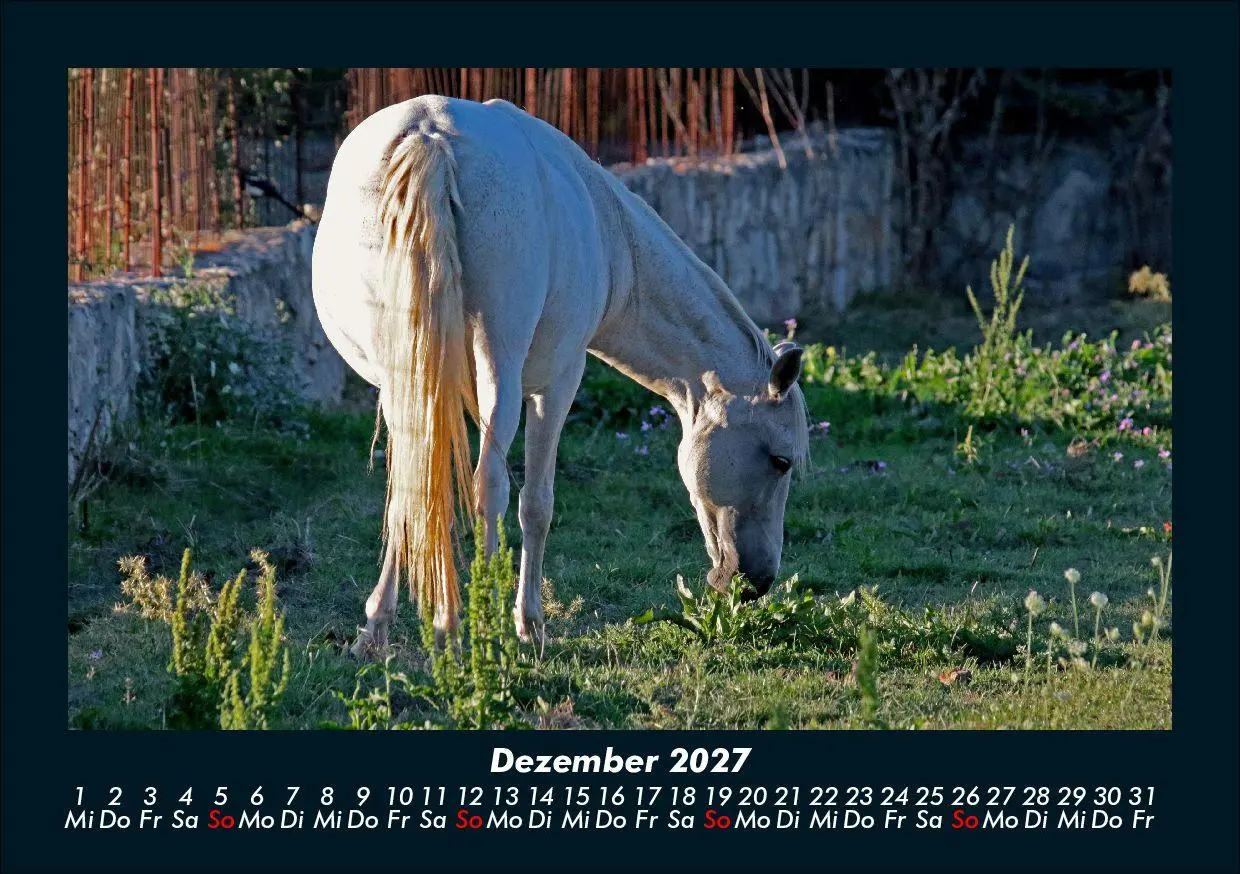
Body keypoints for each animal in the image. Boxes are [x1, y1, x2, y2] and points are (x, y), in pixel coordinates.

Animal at [311, 95, 809, 654]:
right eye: (781, 461)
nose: (757, 582)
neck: (613, 238)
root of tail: (431, 135)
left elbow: (413, 489)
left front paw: (378, 625)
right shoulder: (557, 384)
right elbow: (536, 503)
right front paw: (529, 624)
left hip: (408, 375)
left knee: (413, 484)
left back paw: (389, 630)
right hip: (499, 372)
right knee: (490, 486)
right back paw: (475, 631)